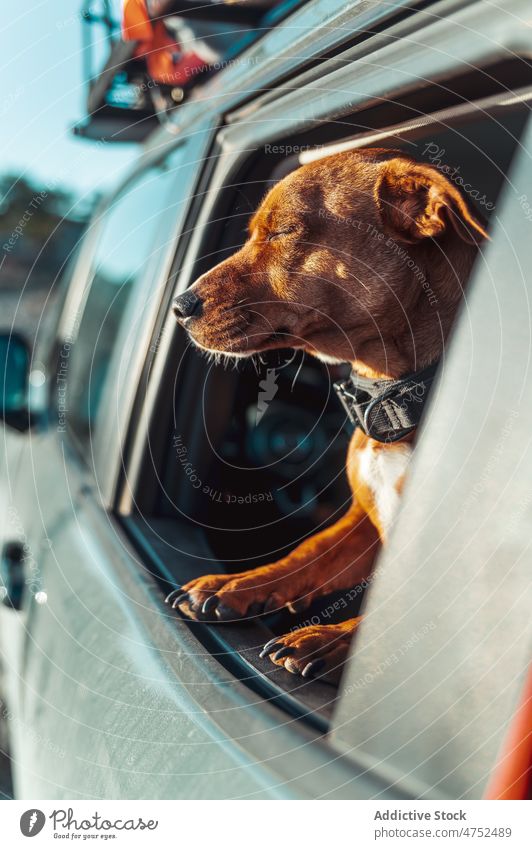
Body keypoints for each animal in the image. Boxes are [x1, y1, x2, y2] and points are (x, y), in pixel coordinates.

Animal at [167, 149, 486, 684]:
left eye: (284, 231)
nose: (177, 305)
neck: (390, 393)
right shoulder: (364, 523)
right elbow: (310, 551)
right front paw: (237, 585)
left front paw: (328, 639)